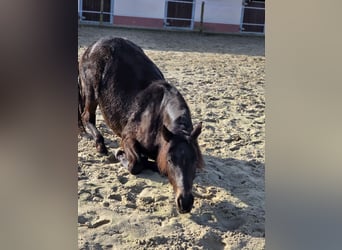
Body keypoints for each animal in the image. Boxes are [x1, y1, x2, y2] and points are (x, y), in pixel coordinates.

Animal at [77, 37, 203, 213]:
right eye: (170, 160)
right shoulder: (127, 138)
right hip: (91, 92)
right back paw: (100, 144)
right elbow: (136, 163)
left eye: (194, 160)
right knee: (87, 117)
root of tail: (92, 47)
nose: (185, 203)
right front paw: (121, 154)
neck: (157, 114)